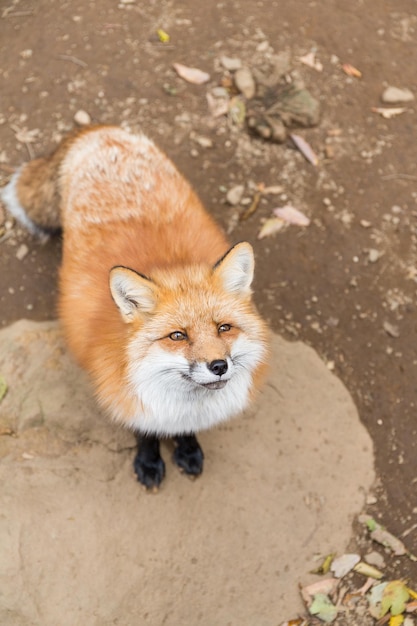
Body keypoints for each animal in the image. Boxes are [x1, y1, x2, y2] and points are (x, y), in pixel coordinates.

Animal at [1, 125, 268, 488]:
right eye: (177, 336)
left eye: (224, 328)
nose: (218, 366)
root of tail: (99, 131)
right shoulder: (124, 394)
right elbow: (145, 432)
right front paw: (149, 461)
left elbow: (187, 432)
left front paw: (187, 449)